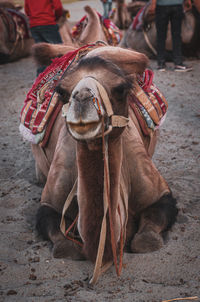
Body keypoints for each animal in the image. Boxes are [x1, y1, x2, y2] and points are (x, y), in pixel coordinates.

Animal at [21, 42, 177, 284]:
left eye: (120, 89)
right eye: (62, 92)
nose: (83, 97)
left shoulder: (159, 193)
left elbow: (145, 241)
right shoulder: (49, 202)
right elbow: (65, 247)